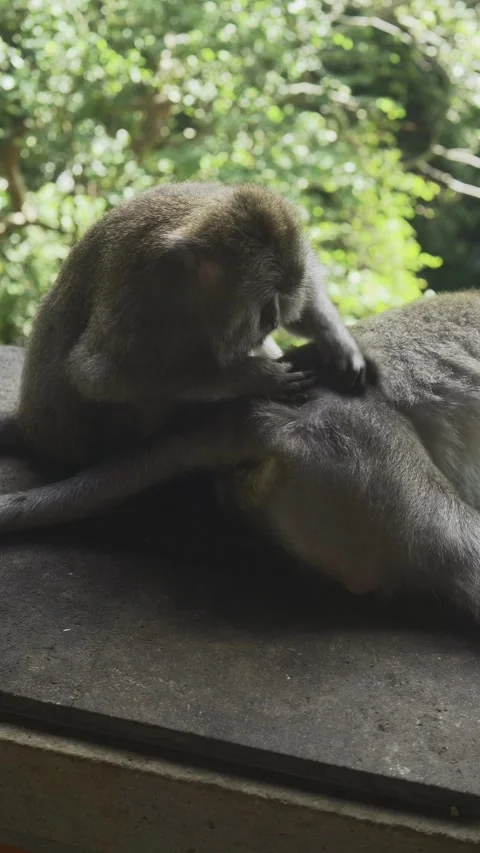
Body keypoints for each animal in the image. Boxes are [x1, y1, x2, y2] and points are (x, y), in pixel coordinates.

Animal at [0, 181, 370, 478]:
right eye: (265, 301)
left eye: (280, 298)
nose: (272, 321)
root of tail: (32, 428)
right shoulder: (146, 289)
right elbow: (97, 374)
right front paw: (258, 376)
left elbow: (308, 296)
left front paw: (340, 345)